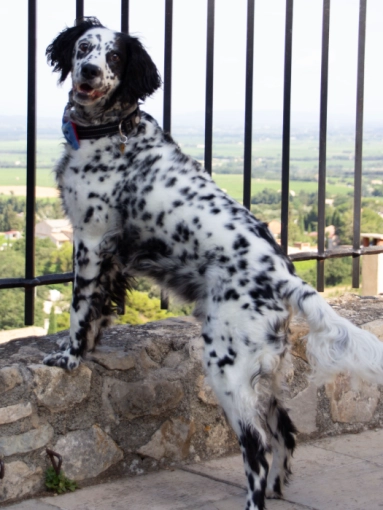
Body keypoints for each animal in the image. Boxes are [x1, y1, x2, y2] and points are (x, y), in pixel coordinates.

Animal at [43, 18, 382, 510]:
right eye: (84, 48)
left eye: (115, 58)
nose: (87, 72)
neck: (112, 131)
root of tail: (282, 275)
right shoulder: (109, 254)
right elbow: (100, 313)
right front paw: (88, 350)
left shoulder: (88, 240)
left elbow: (78, 311)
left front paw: (68, 358)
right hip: (262, 377)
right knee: (284, 432)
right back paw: (276, 490)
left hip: (226, 368)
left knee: (256, 447)